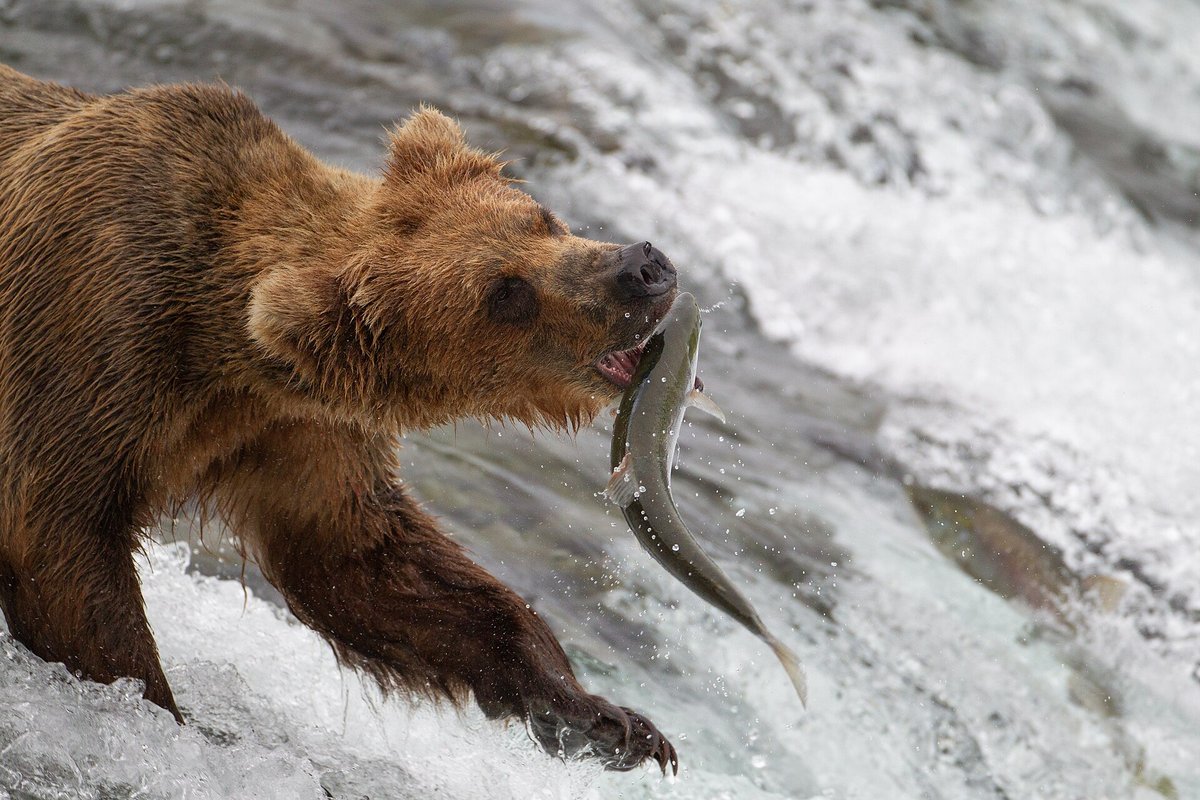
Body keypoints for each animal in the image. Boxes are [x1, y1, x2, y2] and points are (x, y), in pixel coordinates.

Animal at [0, 64, 679, 773]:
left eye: (542, 218)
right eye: (506, 293)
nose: (642, 268)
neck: (222, 350)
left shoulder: (295, 428)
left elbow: (362, 559)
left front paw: (609, 721)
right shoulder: (94, 333)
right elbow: (61, 537)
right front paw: (171, 723)